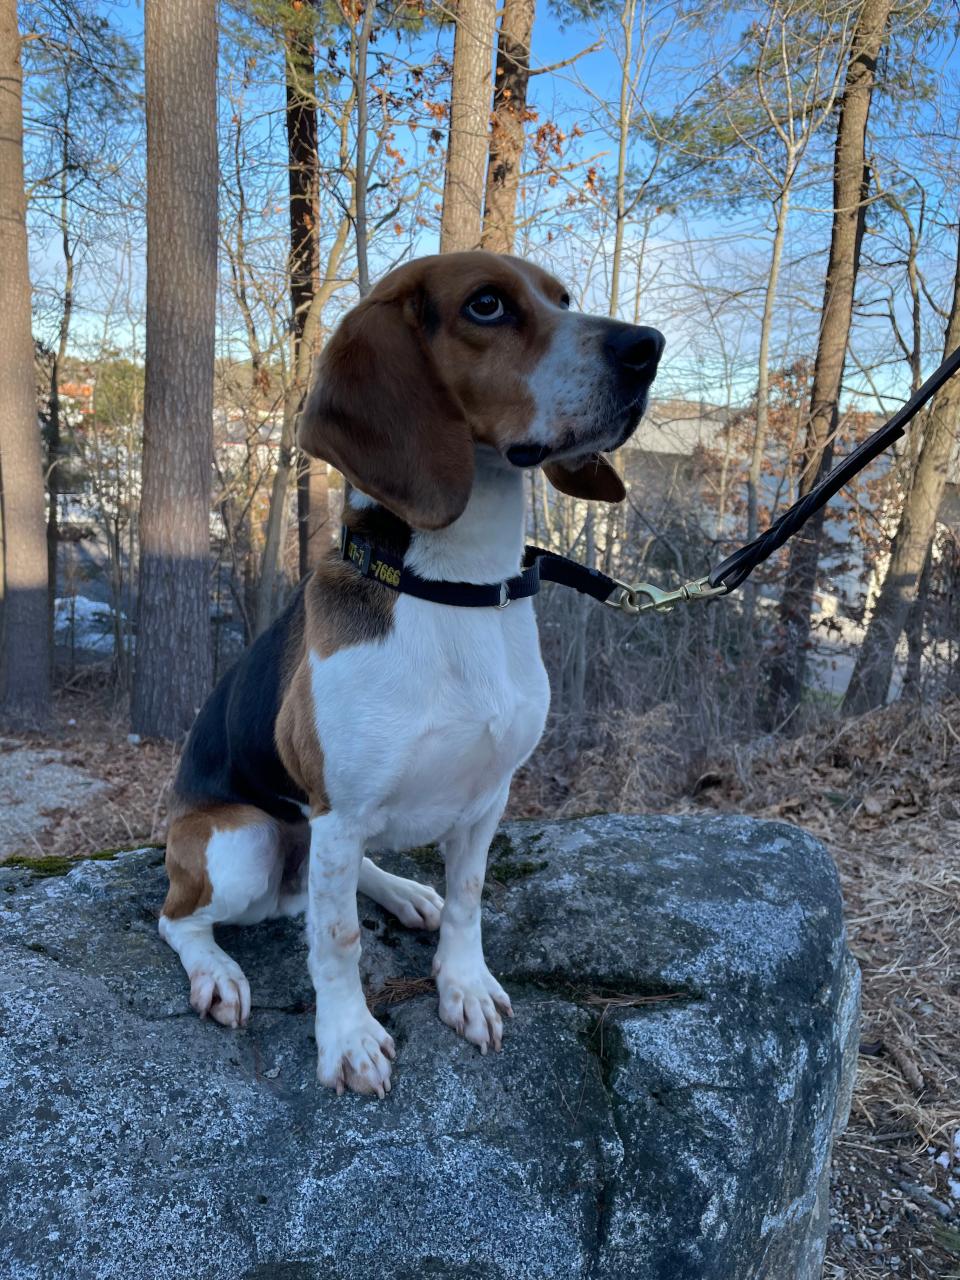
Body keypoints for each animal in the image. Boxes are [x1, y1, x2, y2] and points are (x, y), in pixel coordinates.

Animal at [160, 252, 670, 1100]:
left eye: (563, 297)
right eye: (487, 305)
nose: (647, 347)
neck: (457, 585)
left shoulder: (488, 796)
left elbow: (468, 899)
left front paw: (463, 987)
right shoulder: (338, 810)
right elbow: (336, 941)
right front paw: (347, 1039)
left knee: (348, 880)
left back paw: (403, 892)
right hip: (242, 841)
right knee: (182, 916)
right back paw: (218, 972)